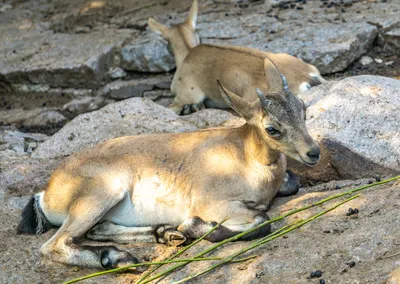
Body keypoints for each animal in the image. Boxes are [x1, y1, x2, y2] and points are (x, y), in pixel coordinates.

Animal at [17, 59, 320, 268]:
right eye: (272, 128)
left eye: (303, 109)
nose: (313, 152)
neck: (245, 158)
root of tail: (46, 194)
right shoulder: (213, 203)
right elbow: (261, 221)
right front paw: (195, 227)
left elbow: (290, 186)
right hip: (100, 193)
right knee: (54, 245)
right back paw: (120, 257)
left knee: (99, 229)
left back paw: (162, 234)